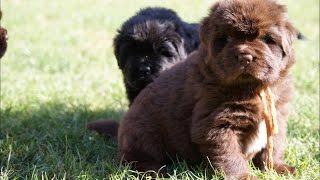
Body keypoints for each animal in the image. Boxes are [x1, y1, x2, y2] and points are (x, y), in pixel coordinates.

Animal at [111, 0, 298, 179]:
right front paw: (243, 176)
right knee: (132, 159)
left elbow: (272, 147)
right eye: (226, 38)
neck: (252, 88)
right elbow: (229, 154)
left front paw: (278, 168)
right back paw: (154, 171)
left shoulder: (277, 117)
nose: (245, 57)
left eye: (267, 38)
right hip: (142, 133)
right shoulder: (216, 124)